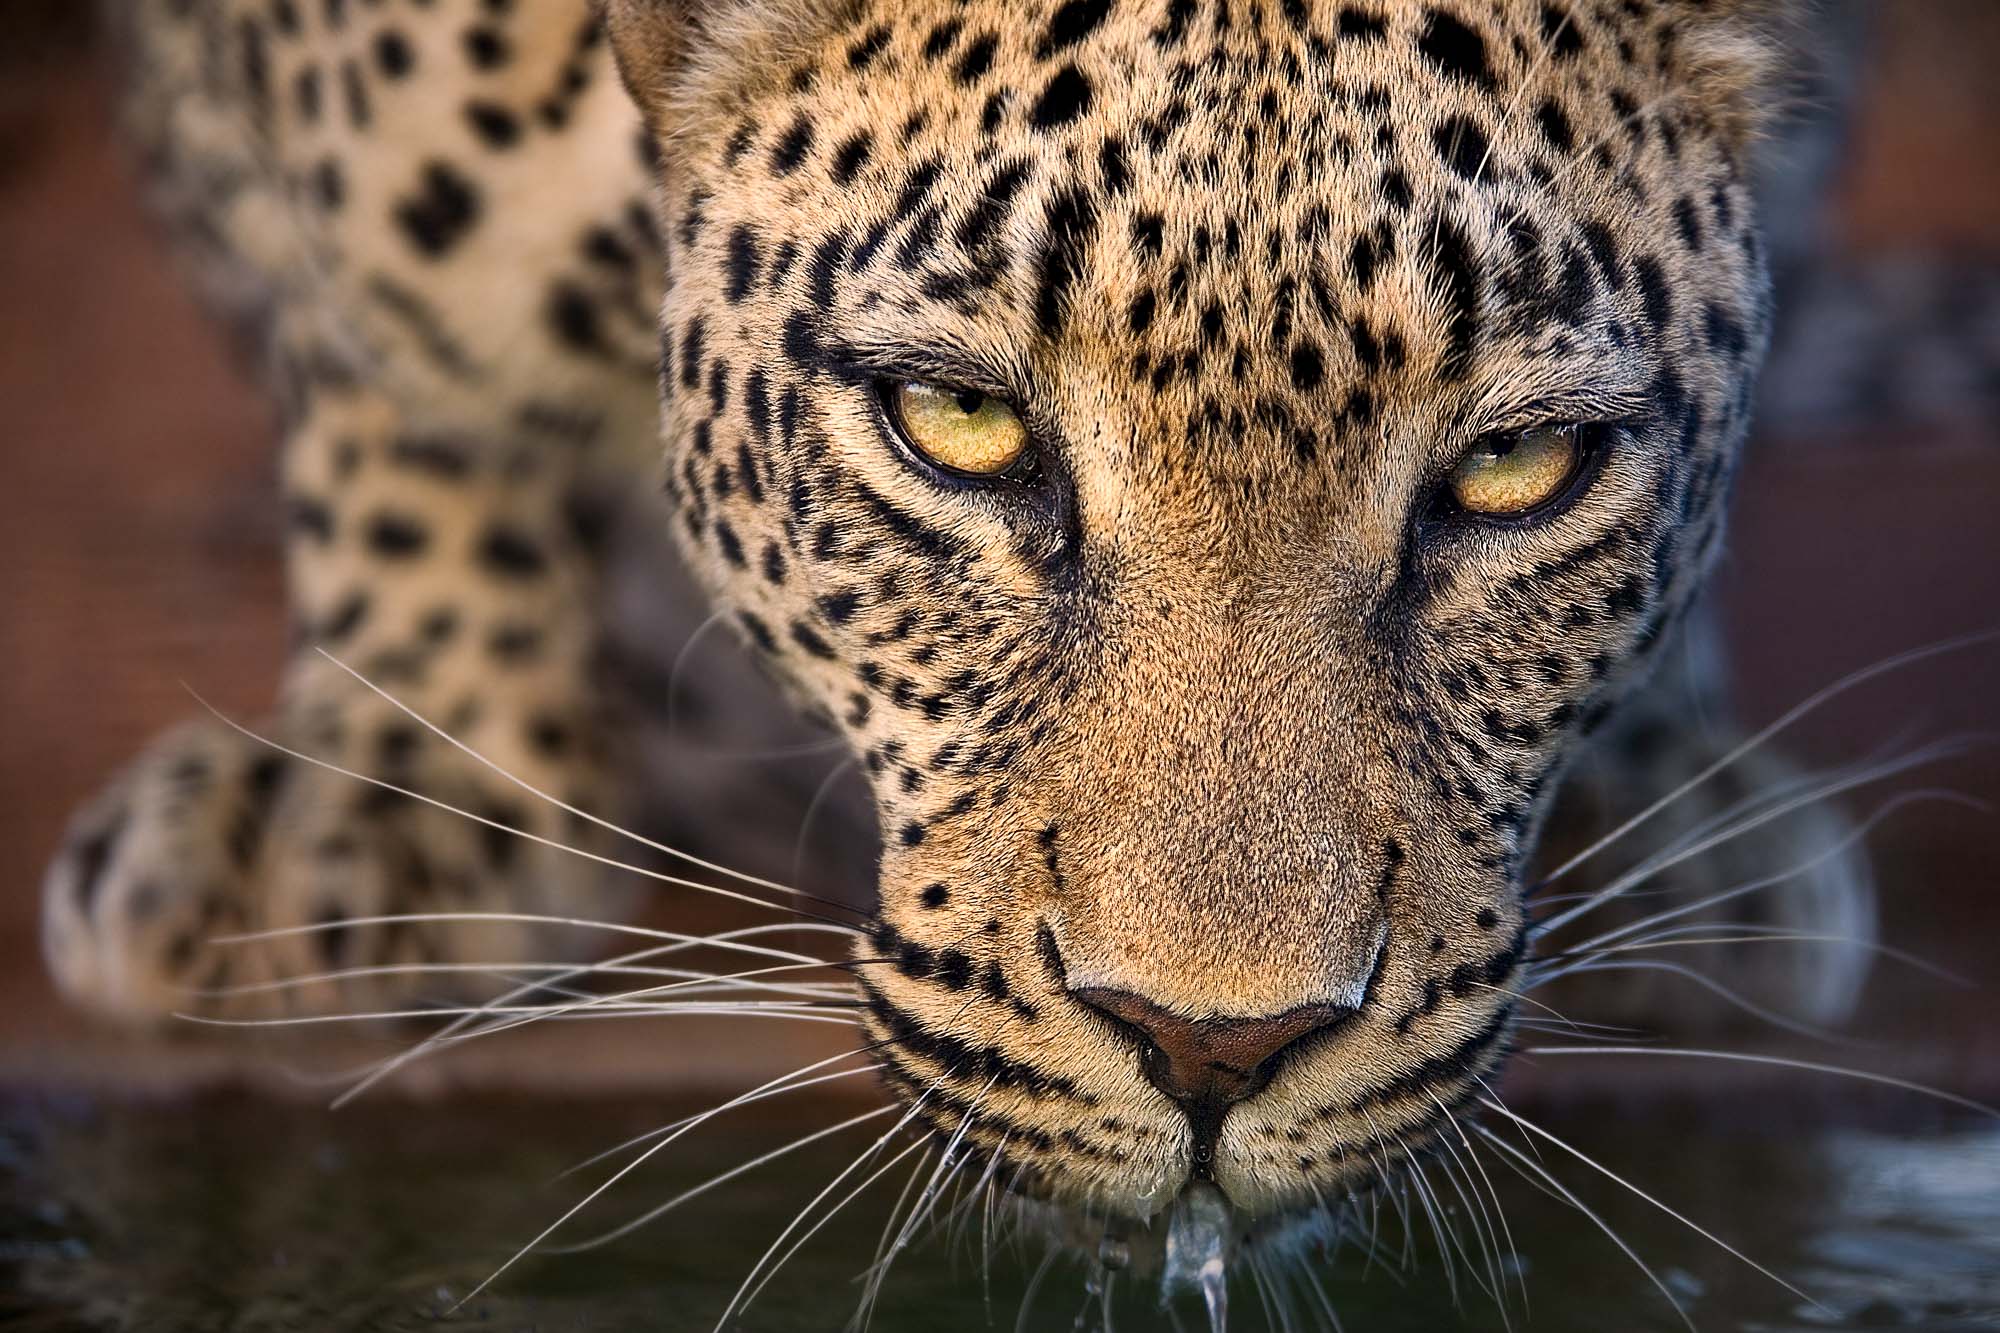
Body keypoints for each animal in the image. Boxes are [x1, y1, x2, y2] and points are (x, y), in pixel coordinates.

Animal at [41, 0, 1881, 1313]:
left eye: (1517, 468)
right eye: (961, 425)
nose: (1213, 1048)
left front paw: (1676, 816)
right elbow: (402, 347)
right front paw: (398, 788)